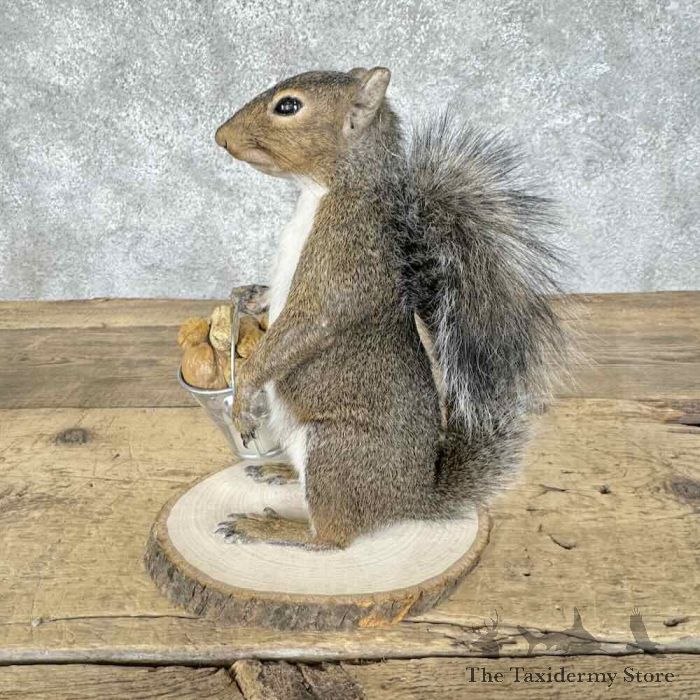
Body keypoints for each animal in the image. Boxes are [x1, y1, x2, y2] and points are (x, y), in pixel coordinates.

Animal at [214, 67, 567, 549]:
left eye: (288, 106)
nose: (220, 136)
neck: (321, 192)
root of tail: (411, 498)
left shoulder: (344, 262)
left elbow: (308, 325)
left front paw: (245, 394)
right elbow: (270, 299)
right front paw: (248, 295)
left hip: (336, 450)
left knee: (332, 537)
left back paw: (269, 526)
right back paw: (279, 469)